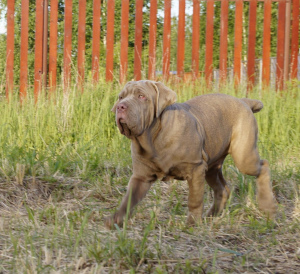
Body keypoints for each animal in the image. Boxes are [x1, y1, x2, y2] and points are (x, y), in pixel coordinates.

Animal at [105, 79, 276, 229]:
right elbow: (129, 198)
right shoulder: (141, 177)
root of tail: (243, 101)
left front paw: (192, 224)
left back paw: (267, 207)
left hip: (243, 157)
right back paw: (210, 216)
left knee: (263, 166)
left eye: (141, 96)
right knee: (222, 189)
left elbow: (194, 199)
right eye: (121, 97)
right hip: (212, 166)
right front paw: (116, 219)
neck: (152, 137)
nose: (120, 106)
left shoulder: (195, 169)